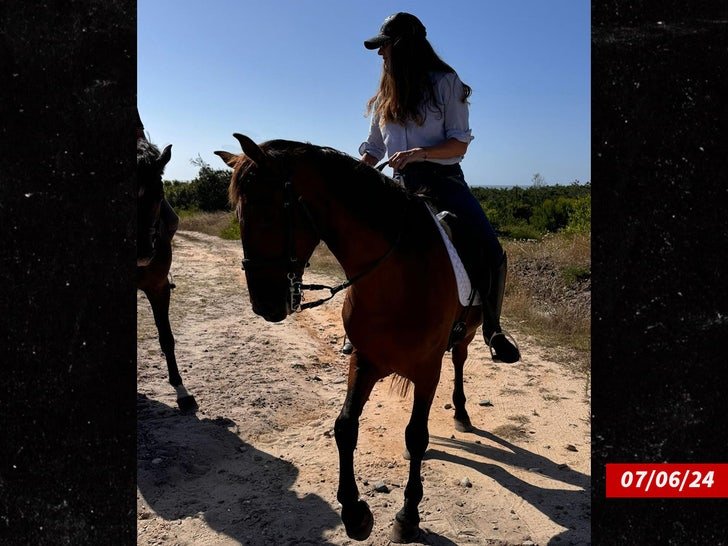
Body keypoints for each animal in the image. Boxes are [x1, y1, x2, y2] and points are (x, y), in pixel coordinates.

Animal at [216, 134, 486, 540]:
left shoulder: (427, 370)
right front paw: (355, 512)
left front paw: (408, 516)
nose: (263, 303)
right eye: (237, 215)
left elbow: (416, 434)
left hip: (465, 336)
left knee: (459, 360)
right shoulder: (364, 360)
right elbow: (345, 427)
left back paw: (462, 412)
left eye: (266, 213)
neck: (397, 276)